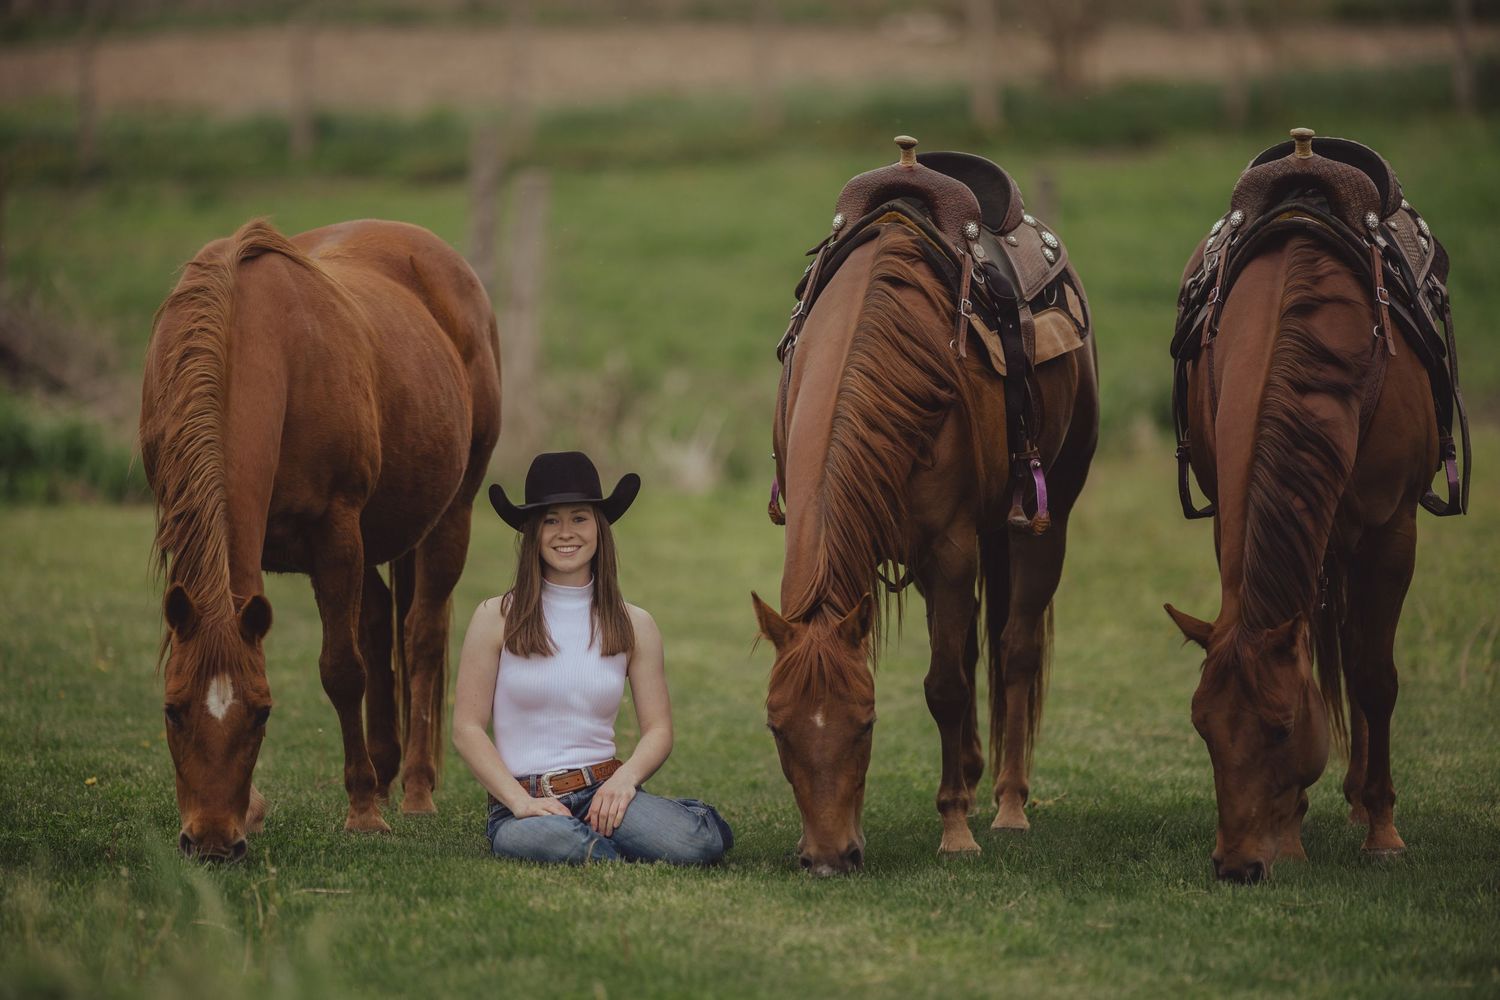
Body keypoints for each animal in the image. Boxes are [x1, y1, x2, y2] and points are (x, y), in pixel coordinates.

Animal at [139, 218, 501, 860]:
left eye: (262, 714)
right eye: (172, 710)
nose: (212, 843)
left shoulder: (336, 532)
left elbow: (341, 669)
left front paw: (362, 813)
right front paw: (260, 808)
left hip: (450, 515)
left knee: (421, 636)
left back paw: (412, 790)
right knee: (380, 621)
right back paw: (383, 772)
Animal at [753, 211, 1098, 874]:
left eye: (866, 724)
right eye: (777, 729)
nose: (829, 858)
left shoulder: (951, 546)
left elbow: (945, 686)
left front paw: (956, 830)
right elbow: (954, 666)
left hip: (1046, 515)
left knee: (1015, 648)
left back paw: (1008, 805)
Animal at [1167, 213, 1446, 882]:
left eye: (1281, 728)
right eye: (1202, 728)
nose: (1237, 865)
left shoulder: (1392, 532)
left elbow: (1374, 677)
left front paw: (1383, 832)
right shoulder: (1233, 525)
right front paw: (1292, 836)